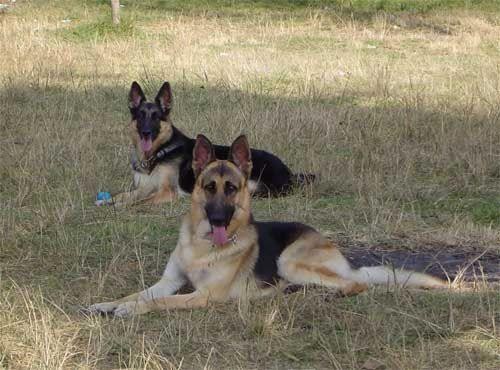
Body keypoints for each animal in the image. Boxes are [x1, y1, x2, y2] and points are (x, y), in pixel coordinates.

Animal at [89, 134, 446, 316]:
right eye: (209, 187)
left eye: (232, 189)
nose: (218, 220)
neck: (202, 245)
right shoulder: (168, 281)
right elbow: (137, 293)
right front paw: (107, 304)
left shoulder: (203, 295)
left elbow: (157, 301)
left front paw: (130, 310)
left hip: (289, 261)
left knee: (357, 285)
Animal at [104, 81, 312, 208]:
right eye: (140, 116)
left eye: (156, 117)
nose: (146, 132)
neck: (159, 152)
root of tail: (289, 172)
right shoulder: (142, 188)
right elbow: (123, 195)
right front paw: (109, 201)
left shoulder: (166, 192)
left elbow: (137, 202)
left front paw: (119, 206)